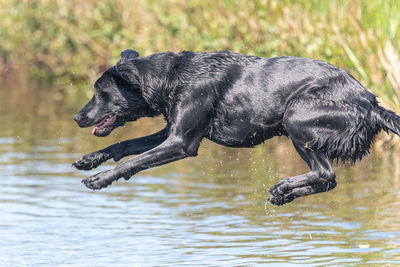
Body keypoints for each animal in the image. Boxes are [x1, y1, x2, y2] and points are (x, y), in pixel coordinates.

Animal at [72, 49, 400, 205]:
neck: (172, 77)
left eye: (100, 93)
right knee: (327, 181)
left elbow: (134, 160)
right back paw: (284, 195)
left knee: (326, 174)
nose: (77, 117)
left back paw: (283, 188)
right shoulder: (171, 132)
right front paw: (90, 160)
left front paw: (100, 179)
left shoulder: (181, 142)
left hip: (295, 117)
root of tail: (372, 104)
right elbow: (124, 146)